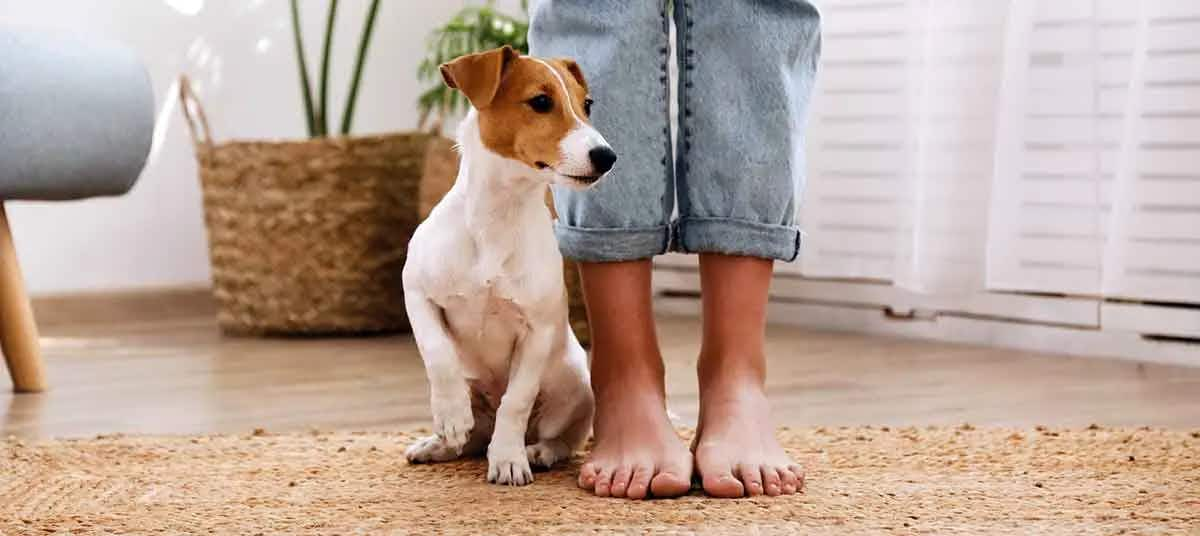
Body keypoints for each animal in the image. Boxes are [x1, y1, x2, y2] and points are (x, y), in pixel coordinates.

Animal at [403, 44, 614, 486]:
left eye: (587, 104)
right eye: (541, 102)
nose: (607, 157)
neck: (498, 218)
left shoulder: (537, 330)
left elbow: (515, 402)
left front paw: (508, 460)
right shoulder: (415, 290)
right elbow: (437, 352)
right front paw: (450, 414)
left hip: (575, 385)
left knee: (560, 438)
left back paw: (537, 451)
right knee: (472, 436)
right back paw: (441, 442)